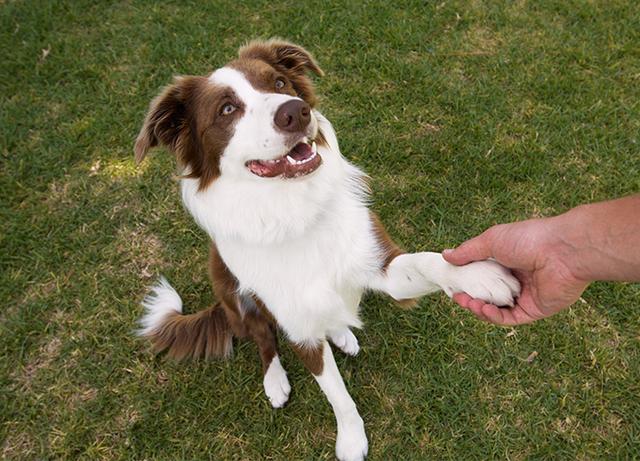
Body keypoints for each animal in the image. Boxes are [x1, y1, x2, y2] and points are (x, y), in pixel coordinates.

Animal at [136, 40, 520, 460]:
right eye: (226, 110)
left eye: (279, 82)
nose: (294, 111)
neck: (293, 212)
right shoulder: (300, 328)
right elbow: (336, 393)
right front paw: (351, 439)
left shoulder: (379, 262)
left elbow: (426, 261)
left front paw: (476, 274)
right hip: (230, 291)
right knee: (262, 338)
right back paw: (275, 380)